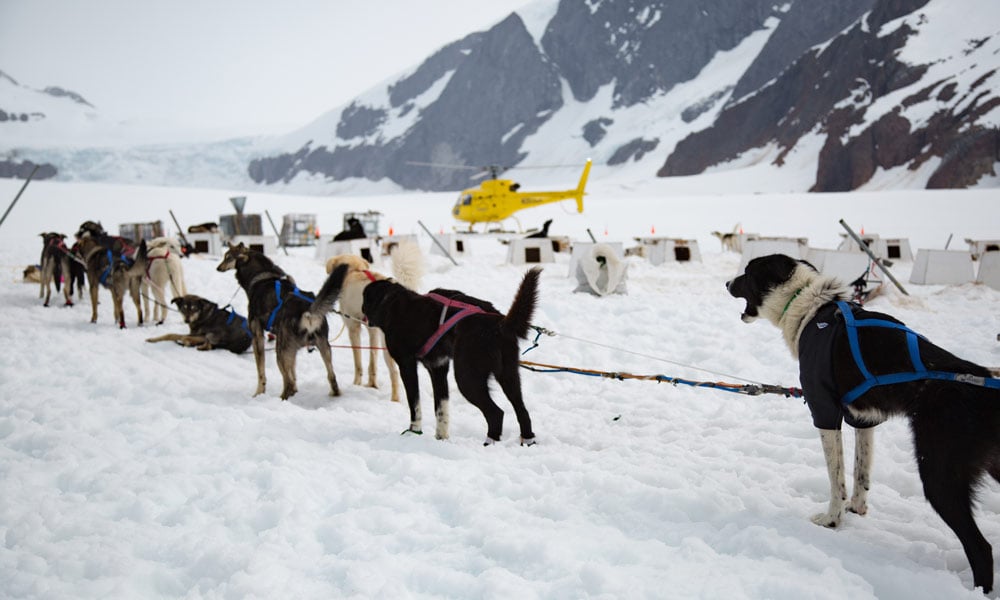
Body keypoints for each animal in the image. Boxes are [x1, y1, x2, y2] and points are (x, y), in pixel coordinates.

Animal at [728, 252, 1000, 592]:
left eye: (747, 272)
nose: (727, 282)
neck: (809, 307)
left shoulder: (825, 411)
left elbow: (837, 480)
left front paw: (832, 520)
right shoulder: (862, 418)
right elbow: (861, 472)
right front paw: (856, 509)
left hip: (939, 475)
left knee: (981, 549)